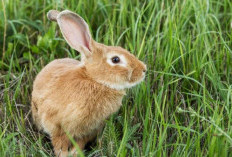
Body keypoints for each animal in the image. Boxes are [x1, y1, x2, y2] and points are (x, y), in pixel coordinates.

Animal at [31, 10, 147, 157]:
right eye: (115, 59)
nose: (143, 69)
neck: (95, 80)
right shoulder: (55, 124)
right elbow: (59, 142)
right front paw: (64, 154)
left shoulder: (91, 129)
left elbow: (81, 141)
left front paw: (76, 152)